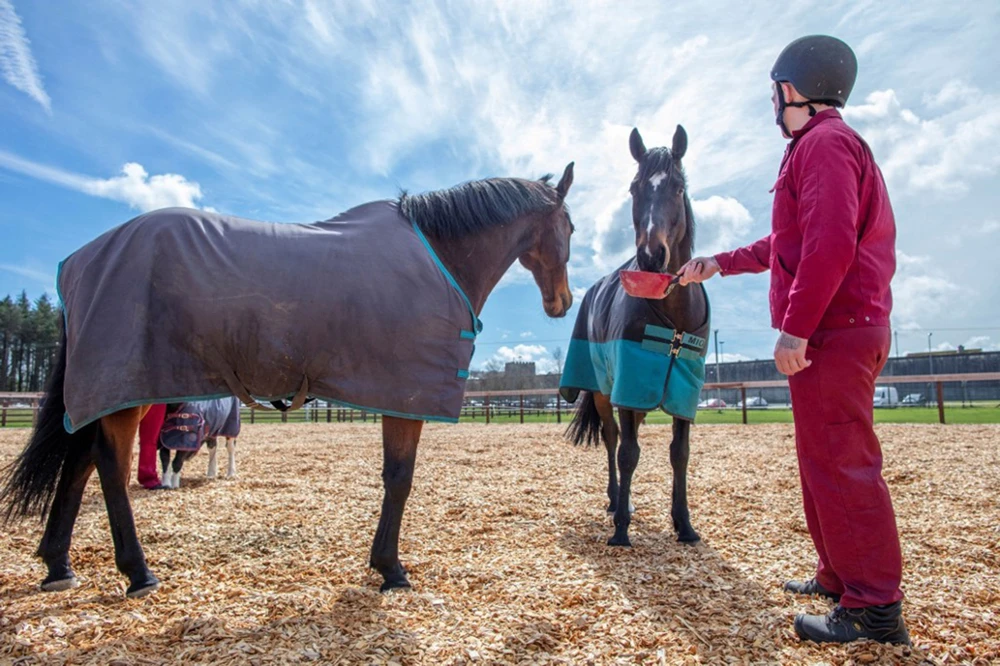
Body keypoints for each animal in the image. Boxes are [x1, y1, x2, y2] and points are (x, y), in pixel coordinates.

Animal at [0, 163, 576, 592]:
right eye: (570, 228)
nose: (563, 302)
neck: (436, 253)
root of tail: (81, 260)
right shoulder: (406, 396)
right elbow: (399, 479)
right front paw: (391, 570)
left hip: (115, 390)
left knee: (79, 459)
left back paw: (58, 565)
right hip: (126, 387)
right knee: (107, 464)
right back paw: (137, 572)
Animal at [564, 127, 712, 548]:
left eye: (678, 187)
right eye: (634, 188)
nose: (650, 255)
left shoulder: (683, 390)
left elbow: (680, 453)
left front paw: (684, 524)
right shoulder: (627, 387)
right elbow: (628, 453)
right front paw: (621, 530)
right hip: (604, 392)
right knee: (613, 440)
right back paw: (617, 501)